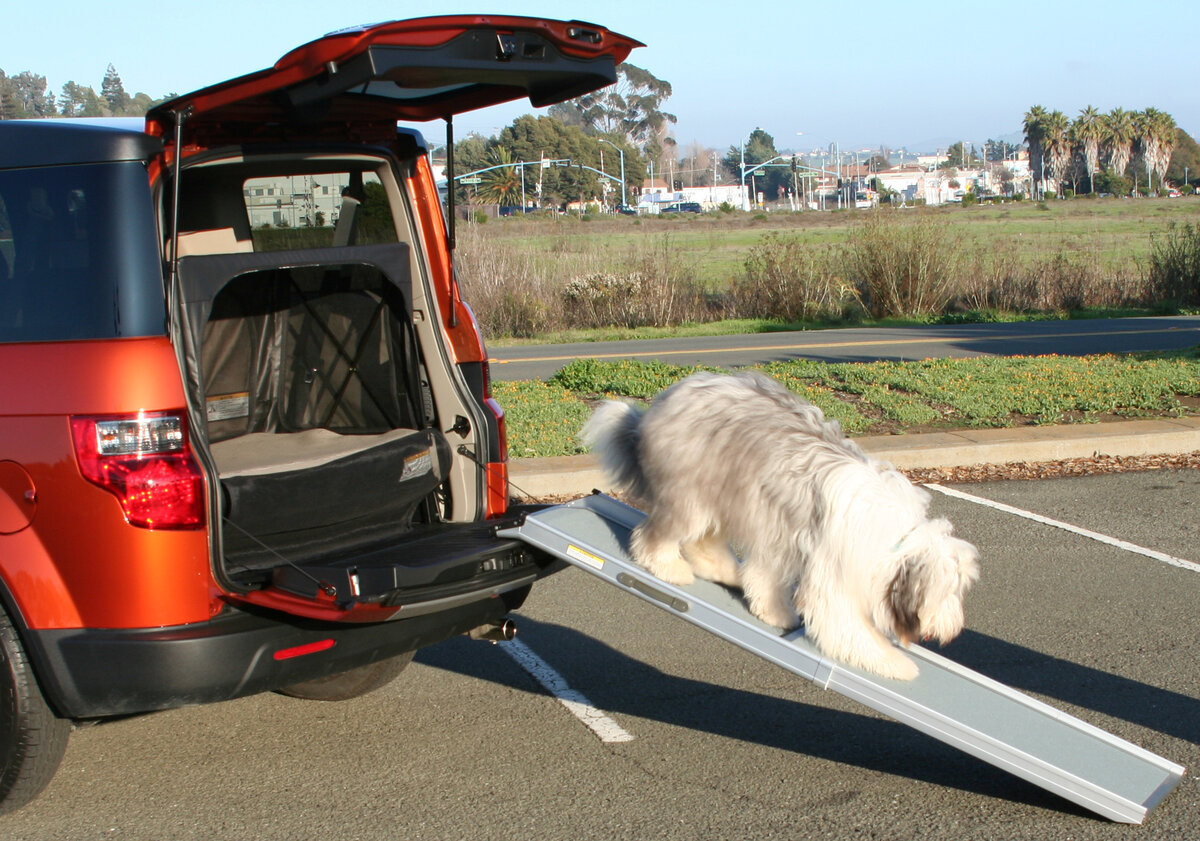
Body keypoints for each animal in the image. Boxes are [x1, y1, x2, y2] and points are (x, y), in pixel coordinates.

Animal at [583, 369, 984, 681]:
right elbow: (848, 626)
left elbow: (767, 577)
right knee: (656, 535)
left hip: (727, 496)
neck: (897, 543)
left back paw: (727, 571)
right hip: (692, 494)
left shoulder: (781, 535)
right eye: (949, 591)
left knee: (703, 542)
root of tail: (664, 399)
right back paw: (668, 568)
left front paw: (772, 610)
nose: (953, 631)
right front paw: (896, 663)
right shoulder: (830, 571)